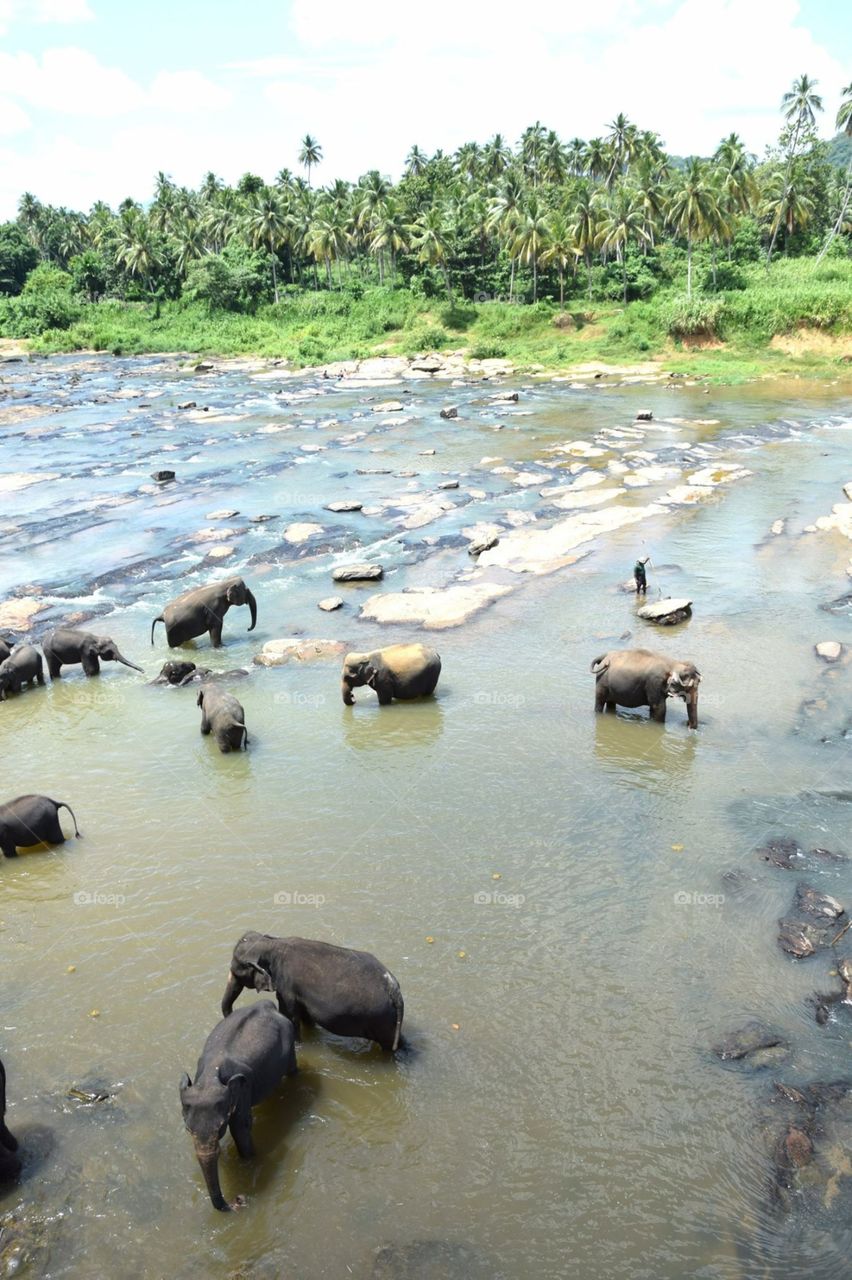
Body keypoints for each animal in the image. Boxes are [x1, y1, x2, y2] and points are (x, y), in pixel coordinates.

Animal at [177, 998, 296, 1208]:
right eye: (188, 1130)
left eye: (220, 1127)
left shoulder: (243, 1089)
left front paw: (249, 1162)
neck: (210, 1077)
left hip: (290, 1042)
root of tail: (266, 1003)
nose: (238, 1199)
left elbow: (240, 1127)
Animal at [220, 931, 404, 1049]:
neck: (273, 944)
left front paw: (298, 1046)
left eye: (236, 970)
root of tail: (394, 989)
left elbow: (290, 1015)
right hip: (388, 1020)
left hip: (381, 1019)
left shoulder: (287, 987)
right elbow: (305, 1016)